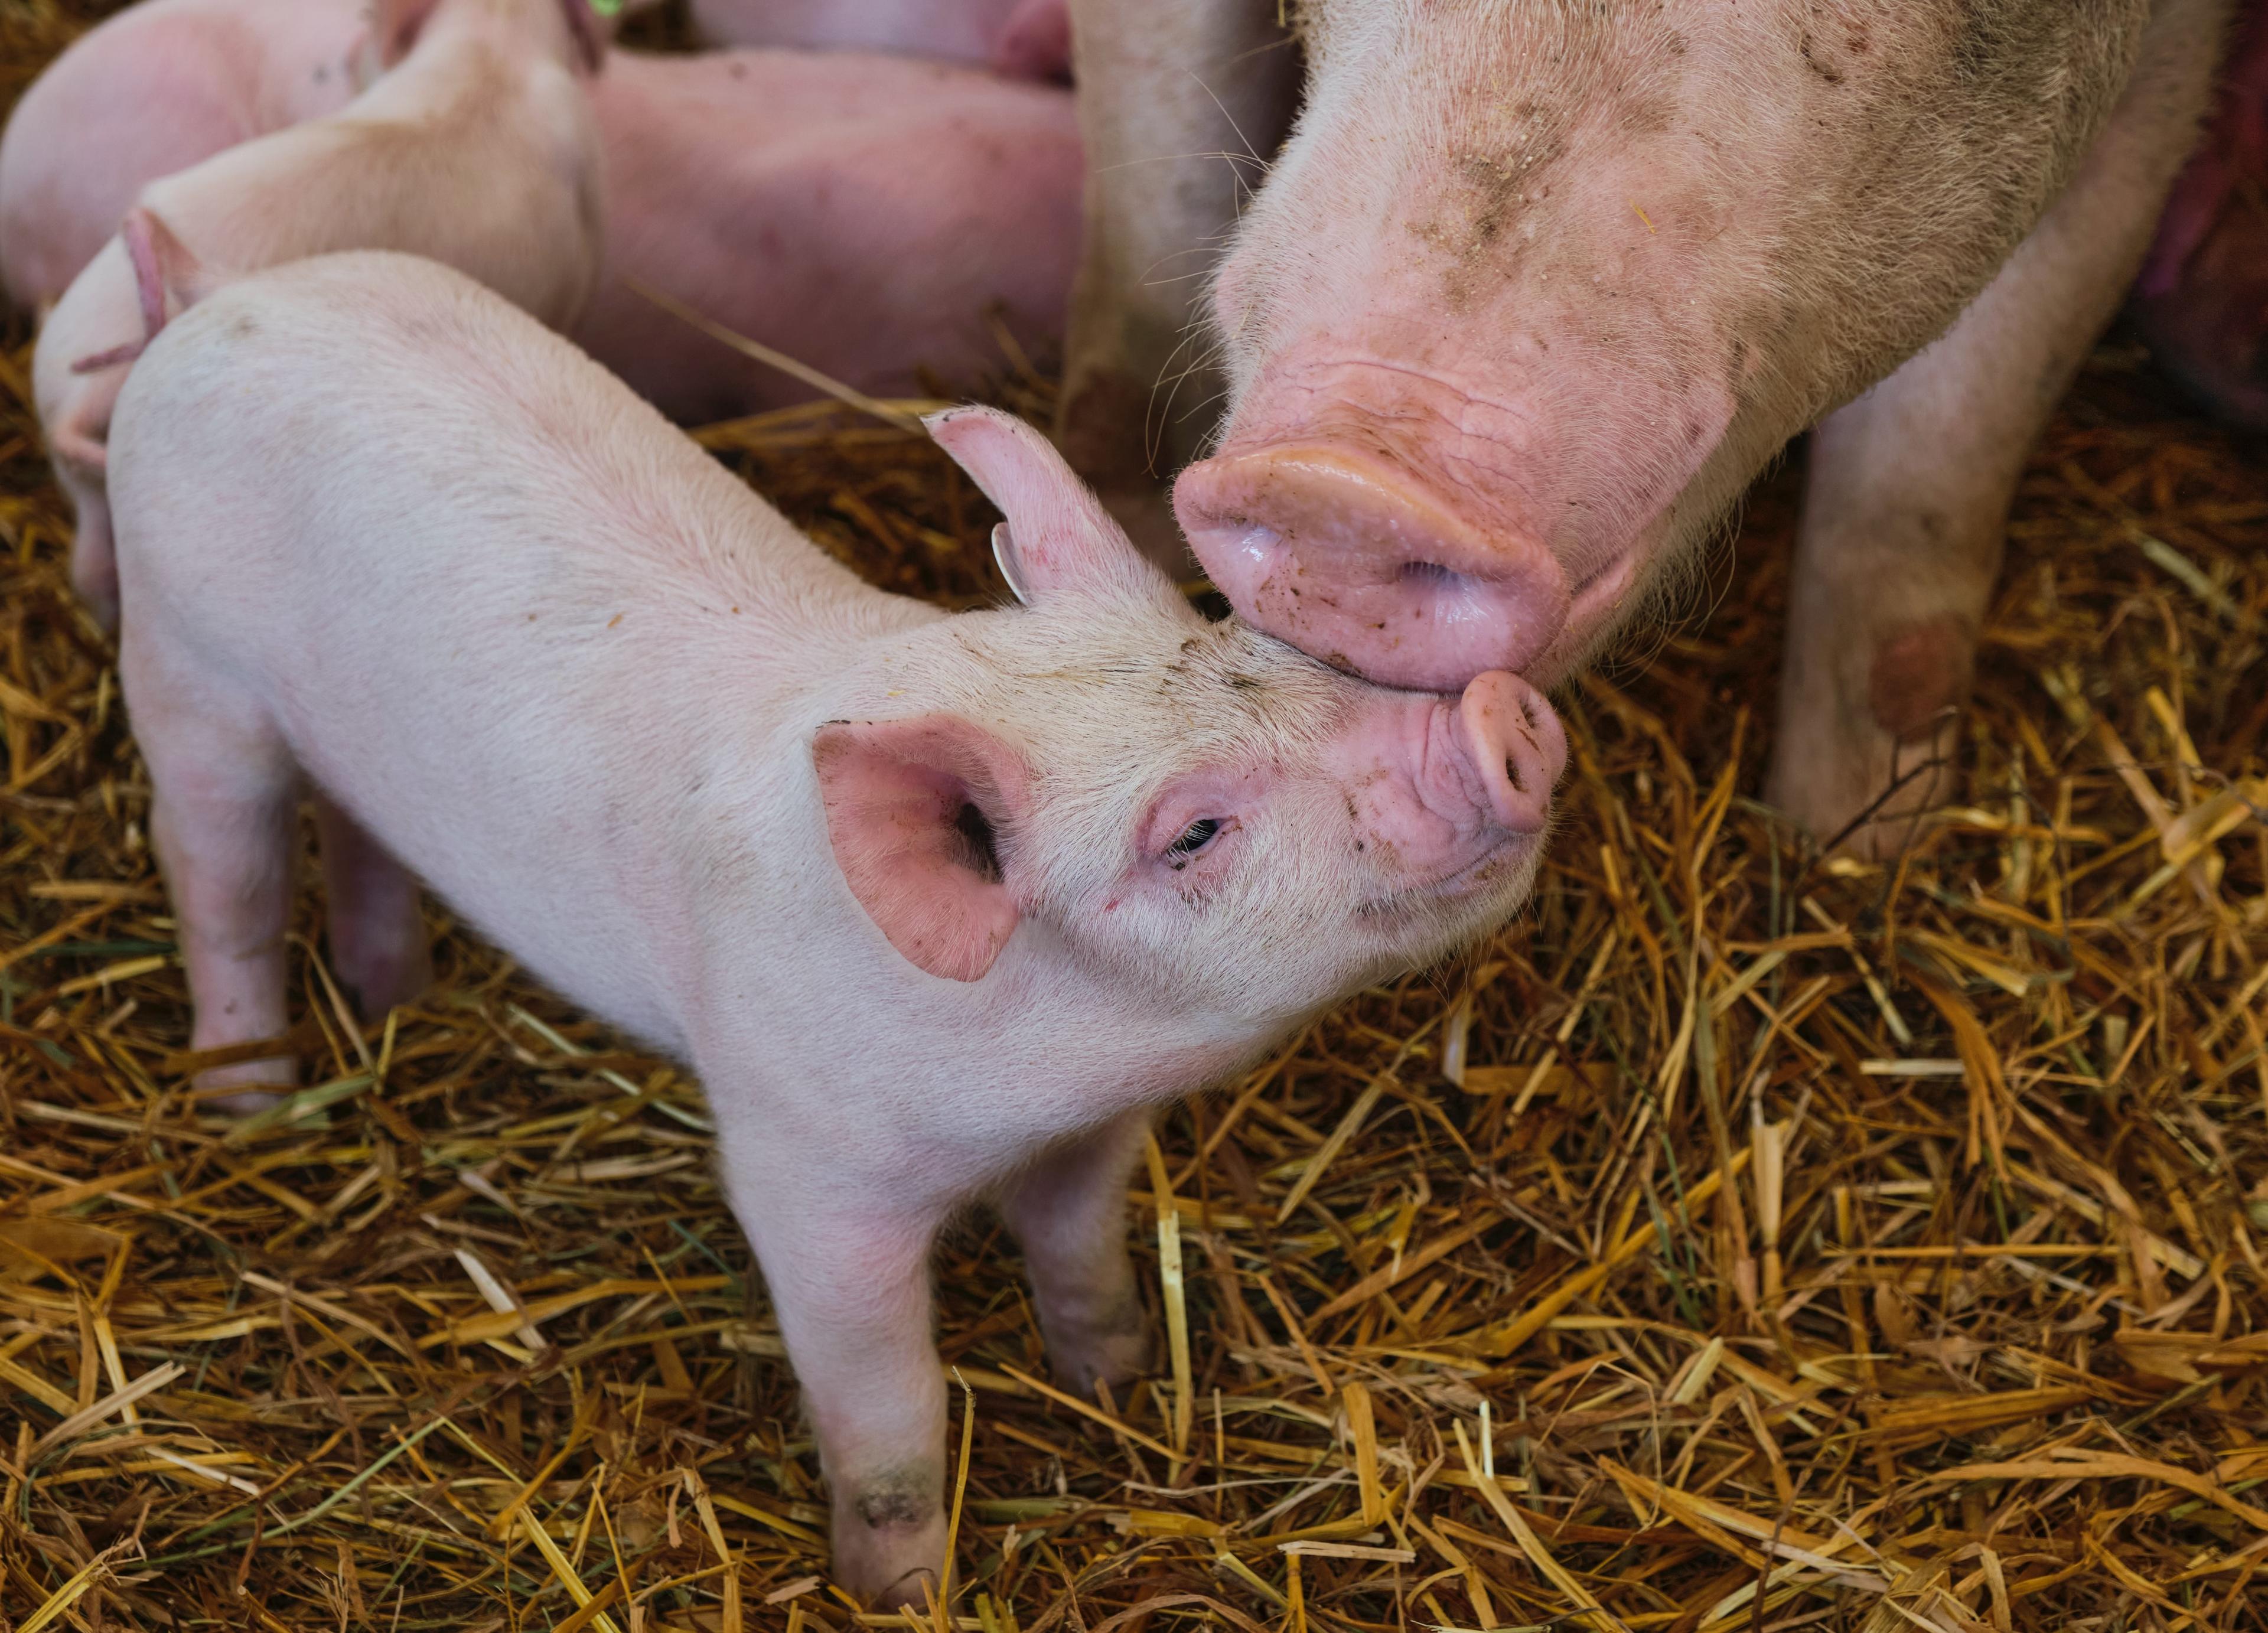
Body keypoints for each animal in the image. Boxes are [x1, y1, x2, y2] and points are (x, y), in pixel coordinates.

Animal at [106, 258, 1560, 1605]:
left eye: (1264, 650)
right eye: (1193, 833)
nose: (1500, 718)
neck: (1038, 1070)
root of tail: (227, 298)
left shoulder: (1091, 1136)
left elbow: (1082, 1249)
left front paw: (1118, 1381)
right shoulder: (802, 1169)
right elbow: (892, 1405)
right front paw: (902, 1591)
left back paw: (394, 994)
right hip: (183, 667)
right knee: (222, 880)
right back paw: (252, 1104)